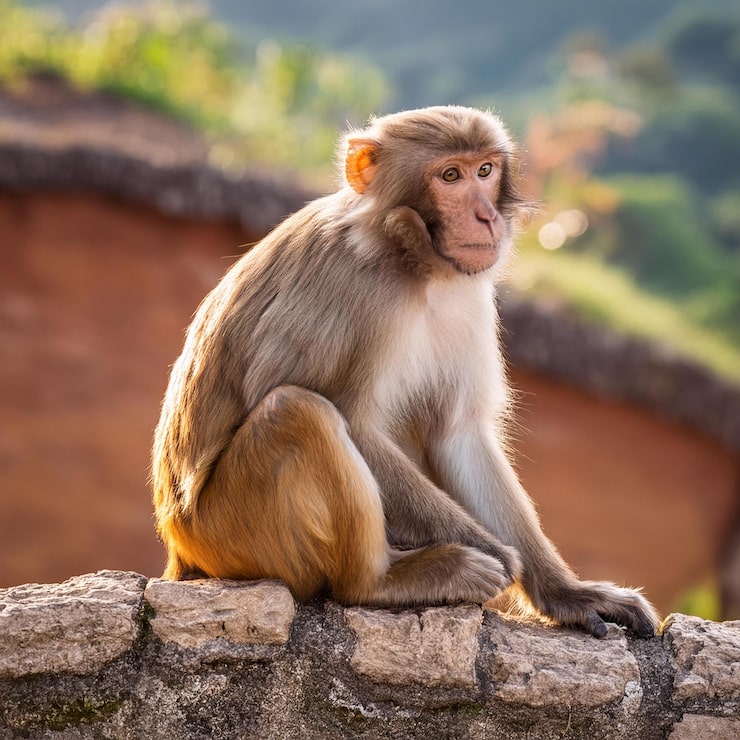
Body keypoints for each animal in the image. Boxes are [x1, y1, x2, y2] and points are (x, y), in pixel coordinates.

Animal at [151, 105, 659, 638]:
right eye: (450, 176)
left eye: (484, 170)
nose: (486, 216)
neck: (413, 261)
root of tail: (180, 545)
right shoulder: (357, 288)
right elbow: (355, 423)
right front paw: (498, 555)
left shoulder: (467, 298)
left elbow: (458, 436)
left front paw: (566, 594)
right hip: (231, 533)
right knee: (299, 411)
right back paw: (387, 580)